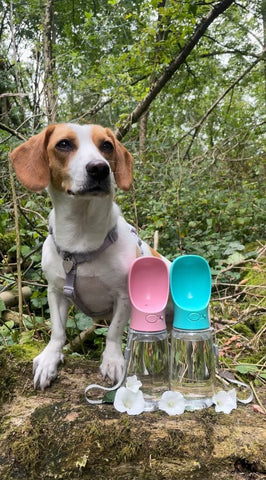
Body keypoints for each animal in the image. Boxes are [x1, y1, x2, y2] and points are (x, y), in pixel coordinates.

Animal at [9, 124, 170, 390]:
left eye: (107, 145)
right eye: (63, 144)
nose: (99, 168)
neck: (80, 238)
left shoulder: (123, 297)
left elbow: (114, 332)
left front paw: (112, 360)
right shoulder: (55, 291)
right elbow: (58, 331)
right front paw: (50, 358)